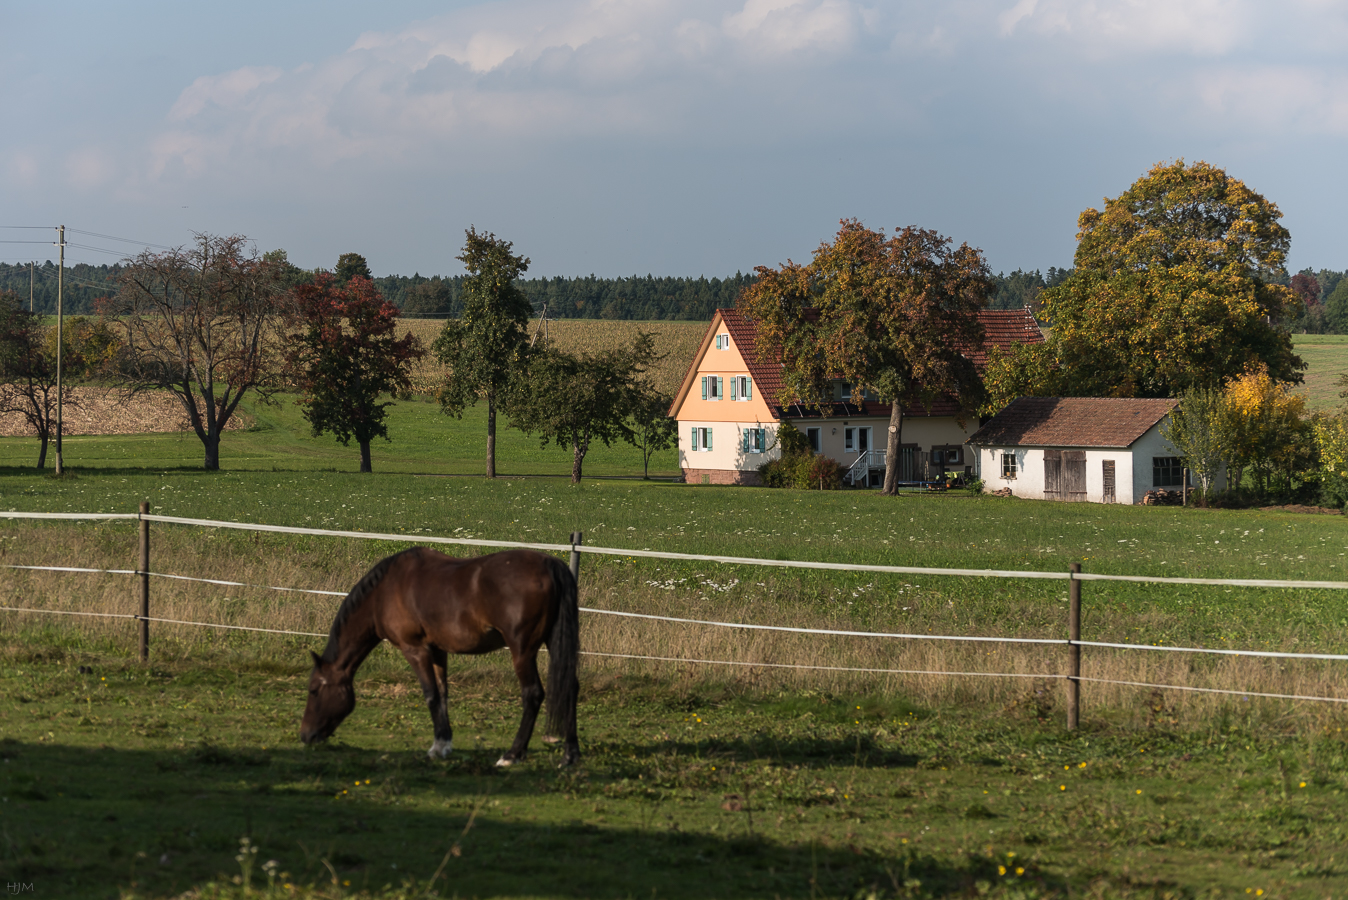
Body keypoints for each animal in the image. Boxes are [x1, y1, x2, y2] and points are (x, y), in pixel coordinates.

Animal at [300, 549, 579, 765]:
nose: (305, 736)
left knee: (532, 694)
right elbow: (443, 695)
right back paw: (570, 755)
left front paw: (436, 748)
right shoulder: (438, 650)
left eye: (314, 690)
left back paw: (512, 754)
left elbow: (431, 695)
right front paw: (443, 744)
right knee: (569, 688)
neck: (385, 591)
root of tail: (549, 563)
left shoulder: (415, 649)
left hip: (522, 651)